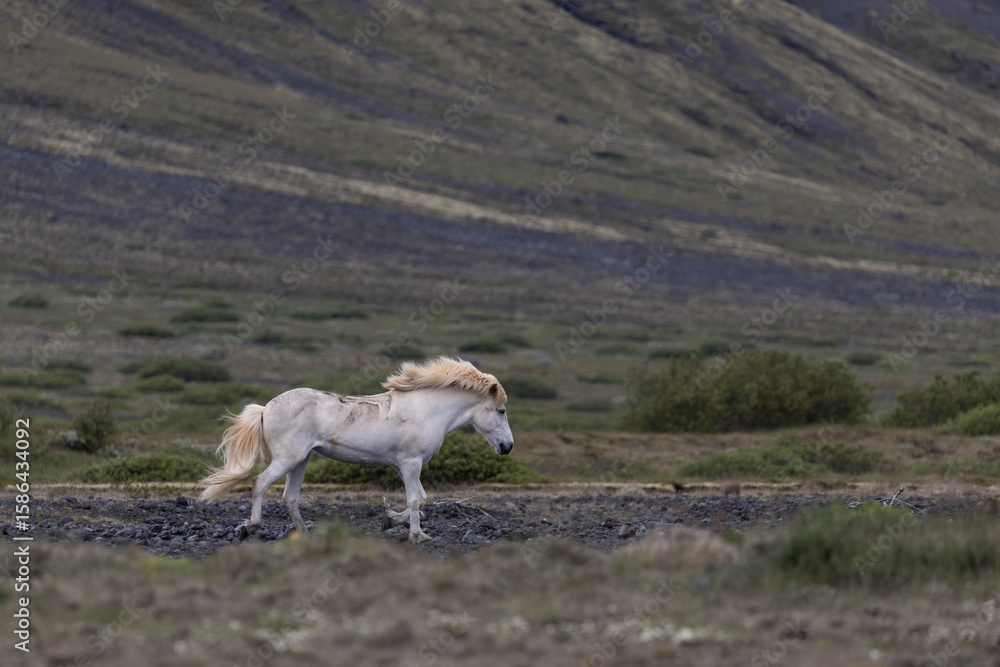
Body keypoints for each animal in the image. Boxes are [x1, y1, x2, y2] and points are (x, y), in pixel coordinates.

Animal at [198, 356, 513, 543]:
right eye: (501, 410)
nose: (507, 447)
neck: (428, 410)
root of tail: (265, 408)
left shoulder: (404, 466)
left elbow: (421, 498)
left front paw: (388, 521)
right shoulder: (411, 463)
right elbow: (415, 500)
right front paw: (418, 535)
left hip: (300, 461)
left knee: (290, 497)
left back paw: (305, 535)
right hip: (288, 459)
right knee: (259, 484)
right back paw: (250, 527)